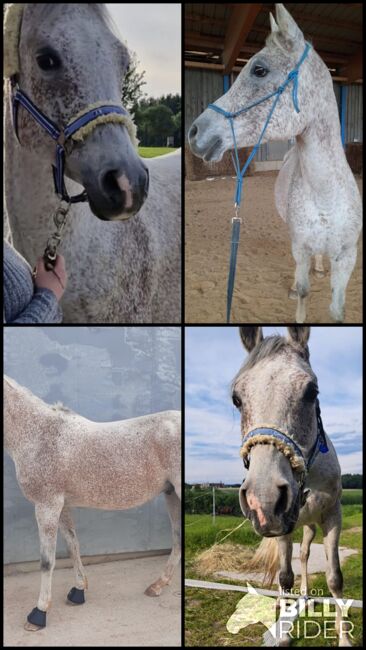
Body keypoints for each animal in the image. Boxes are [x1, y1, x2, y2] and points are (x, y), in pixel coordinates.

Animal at [2, 374, 180, 628]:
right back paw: (157, 585)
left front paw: (39, 613)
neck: (37, 435)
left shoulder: (47, 505)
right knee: (177, 539)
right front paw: (78, 591)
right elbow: (72, 545)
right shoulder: (62, 504)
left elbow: (47, 560)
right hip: (171, 493)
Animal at [190, 2, 362, 322]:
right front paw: (297, 298)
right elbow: (304, 293)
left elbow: (337, 310)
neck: (326, 195)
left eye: (259, 70)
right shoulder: (301, 246)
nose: (194, 132)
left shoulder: (347, 257)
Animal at [233, 326, 354, 644]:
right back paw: (280, 601)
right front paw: (284, 633)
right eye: (237, 398)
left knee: (304, 554)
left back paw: (305, 596)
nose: (262, 499)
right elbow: (285, 576)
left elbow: (334, 578)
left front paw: (344, 638)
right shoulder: (280, 524)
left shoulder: (333, 515)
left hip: (309, 524)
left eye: (312, 391)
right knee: (285, 566)